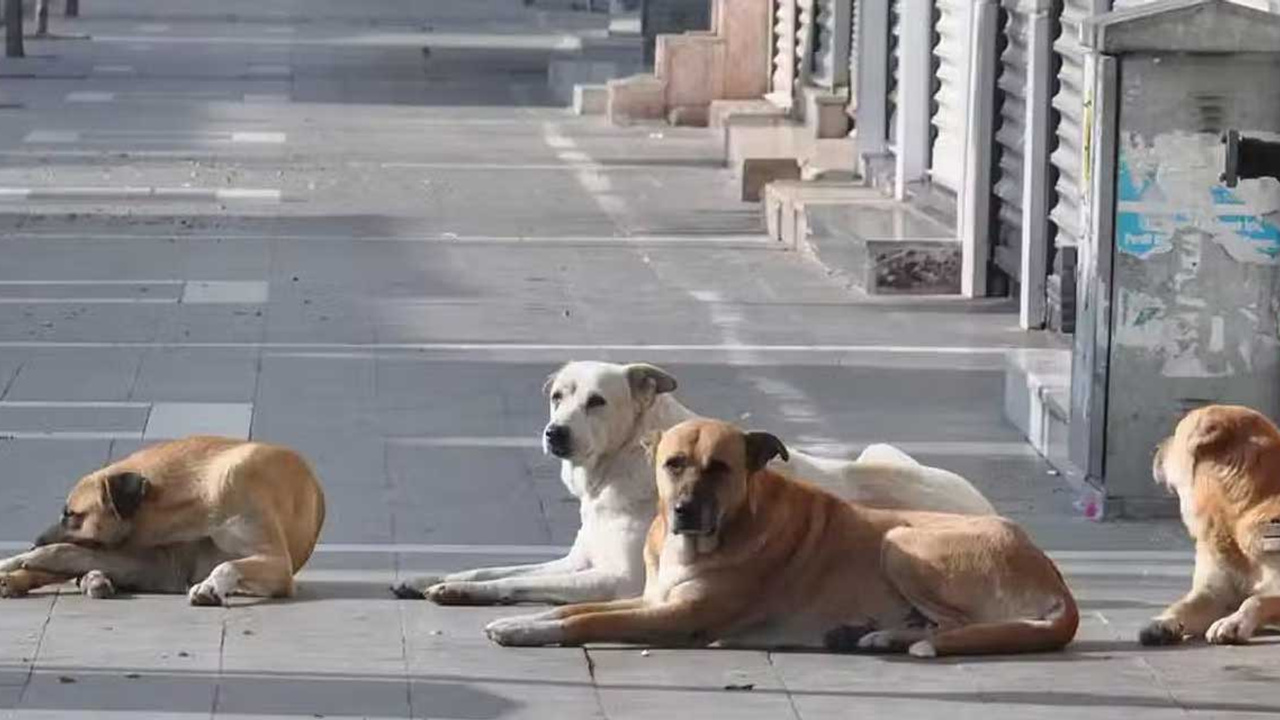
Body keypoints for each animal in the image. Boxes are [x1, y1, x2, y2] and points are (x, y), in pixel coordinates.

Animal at [0, 435, 325, 602]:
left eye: (72, 515)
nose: (34, 542)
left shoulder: (278, 565)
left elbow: (227, 564)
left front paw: (210, 586)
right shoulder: (157, 562)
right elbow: (60, 552)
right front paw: (16, 561)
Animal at [389, 361, 998, 602]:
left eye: (597, 401)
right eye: (558, 396)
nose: (554, 433)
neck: (618, 467)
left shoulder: (616, 580)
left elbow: (513, 583)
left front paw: (460, 593)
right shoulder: (576, 559)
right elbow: (495, 568)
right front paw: (432, 578)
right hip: (878, 452)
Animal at [483, 415, 1075, 655]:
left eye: (720, 468)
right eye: (673, 464)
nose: (685, 511)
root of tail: (1056, 581)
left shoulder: (677, 617)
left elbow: (585, 620)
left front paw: (525, 631)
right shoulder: (651, 599)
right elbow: (571, 609)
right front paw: (522, 620)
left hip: (900, 542)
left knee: (961, 627)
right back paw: (878, 635)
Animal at [1146, 404, 1280, 645]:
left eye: (1176, 434)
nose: (1155, 447)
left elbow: (1255, 600)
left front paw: (1233, 622)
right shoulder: (1212, 593)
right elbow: (1183, 604)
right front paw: (1164, 620)